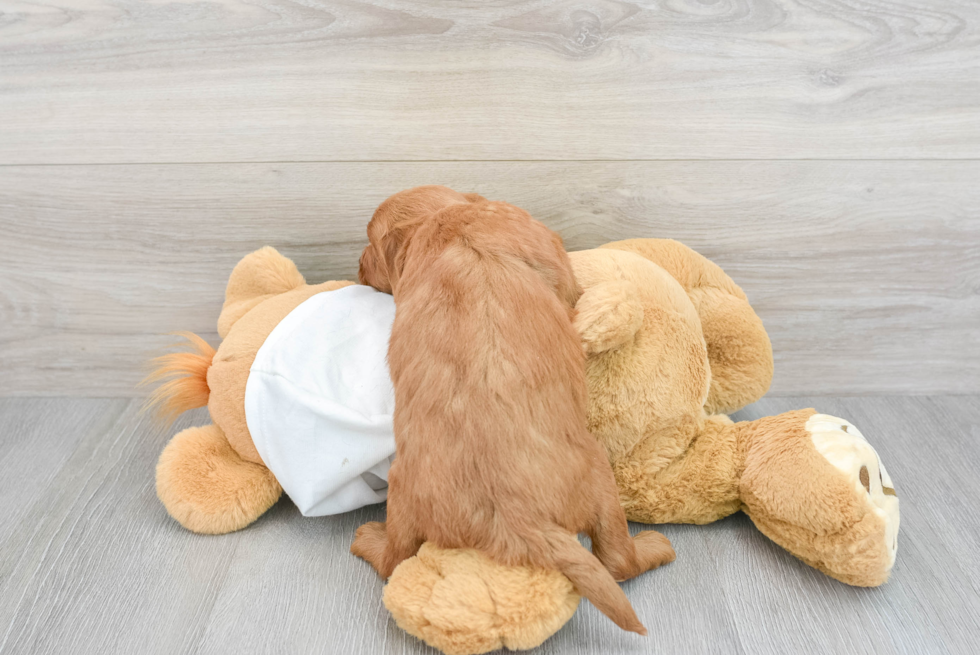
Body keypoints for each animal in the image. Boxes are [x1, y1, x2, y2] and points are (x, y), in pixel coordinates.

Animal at [352, 186, 672, 636]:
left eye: (370, 243)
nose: (357, 266)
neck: (448, 218)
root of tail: (516, 519)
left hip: (401, 488)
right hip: (601, 477)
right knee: (617, 561)